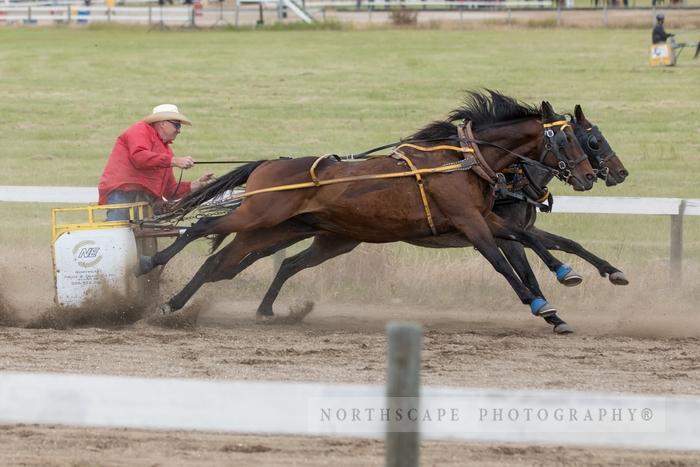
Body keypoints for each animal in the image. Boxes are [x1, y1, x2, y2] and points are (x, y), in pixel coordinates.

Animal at [141, 94, 596, 322]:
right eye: (569, 139)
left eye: (585, 139)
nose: (590, 176)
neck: (464, 159)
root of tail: (269, 163)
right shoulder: (469, 222)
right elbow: (504, 262)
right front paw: (542, 305)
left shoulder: (484, 218)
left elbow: (526, 237)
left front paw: (565, 272)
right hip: (260, 215)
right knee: (202, 229)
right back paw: (153, 268)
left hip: (285, 230)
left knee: (221, 263)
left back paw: (187, 304)